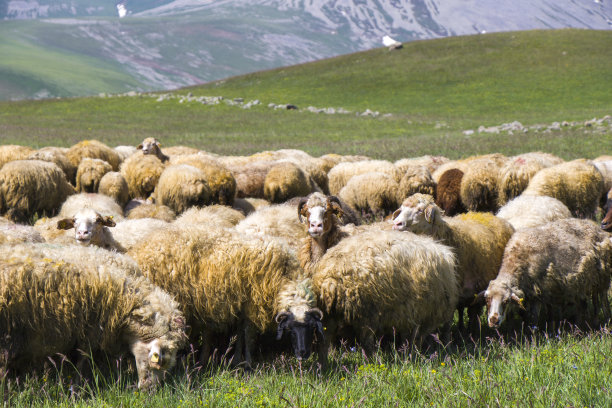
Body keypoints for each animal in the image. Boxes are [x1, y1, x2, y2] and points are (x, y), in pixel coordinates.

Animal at [390, 193, 512, 334]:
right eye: (402, 209)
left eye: (419, 210)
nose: (396, 224)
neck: (451, 238)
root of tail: (487, 214)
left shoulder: (463, 292)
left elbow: (460, 319)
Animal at [482, 218, 612, 330]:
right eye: (487, 299)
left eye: (506, 301)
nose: (494, 321)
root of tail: (595, 226)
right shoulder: (534, 291)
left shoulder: (540, 290)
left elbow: (535, 317)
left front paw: (536, 333)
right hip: (583, 280)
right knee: (585, 303)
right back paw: (580, 325)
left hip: (602, 277)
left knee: (601, 301)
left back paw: (604, 321)